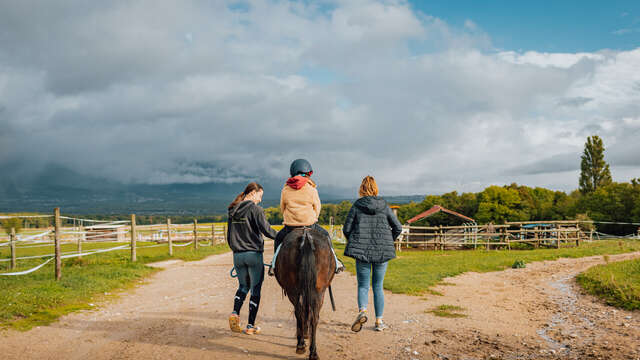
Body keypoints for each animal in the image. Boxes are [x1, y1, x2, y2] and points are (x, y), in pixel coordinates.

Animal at [274, 228, 336, 360]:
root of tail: (306, 237)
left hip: (296, 291)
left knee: (301, 313)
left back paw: (302, 345)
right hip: (317, 291)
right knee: (312, 316)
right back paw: (311, 351)